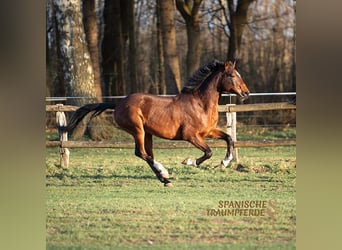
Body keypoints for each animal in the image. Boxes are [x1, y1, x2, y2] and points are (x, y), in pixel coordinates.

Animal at [65, 60, 250, 186]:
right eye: (232, 75)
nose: (246, 93)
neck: (200, 104)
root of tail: (118, 104)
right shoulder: (190, 135)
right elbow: (208, 152)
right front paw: (189, 162)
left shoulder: (208, 131)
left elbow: (229, 139)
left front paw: (224, 163)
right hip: (138, 130)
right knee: (141, 153)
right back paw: (165, 176)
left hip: (147, 133)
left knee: (147, 155)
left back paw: (164, 175)